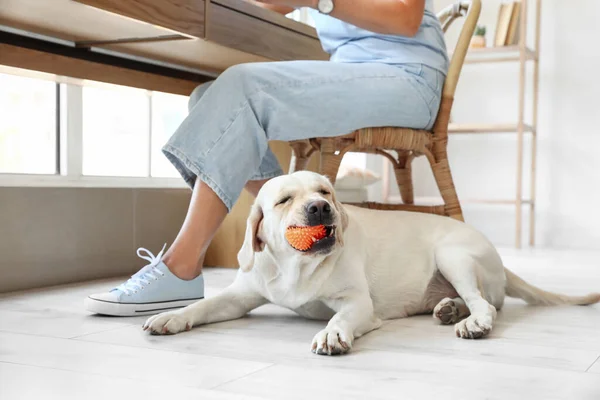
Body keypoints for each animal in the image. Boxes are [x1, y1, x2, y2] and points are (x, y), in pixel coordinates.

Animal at [144, 170, 600, 354]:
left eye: (325, 191)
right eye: (285, 199)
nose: (320, 208)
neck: (296, 268)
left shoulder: (357, 303)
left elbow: (339, 317)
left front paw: (332, 333)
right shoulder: (239, 295)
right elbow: (204, 305)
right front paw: (171, 316)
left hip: (452, 254)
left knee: (487, 305)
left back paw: (471, 321)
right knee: (476, 301)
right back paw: (450, 309)